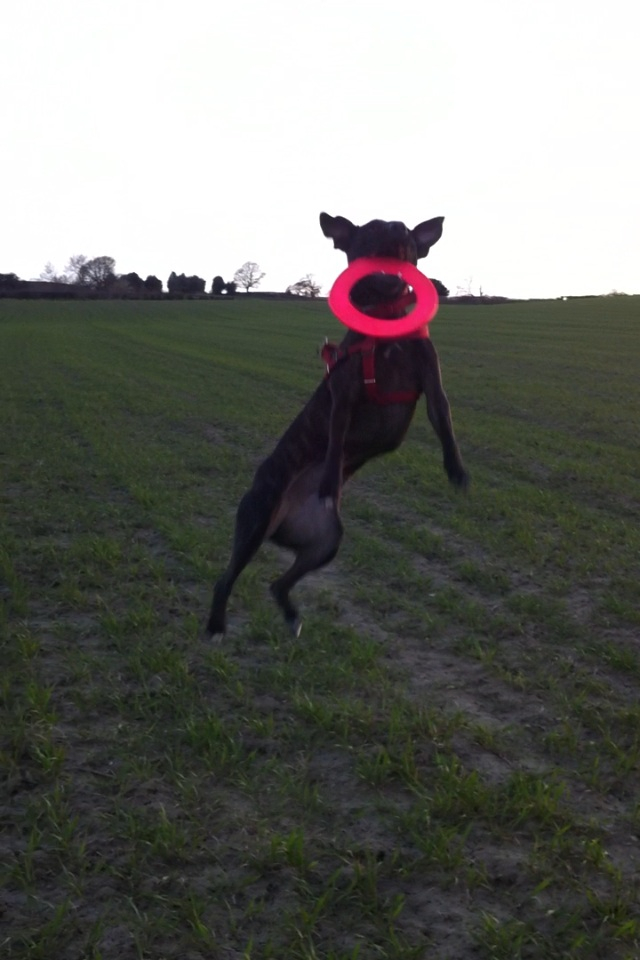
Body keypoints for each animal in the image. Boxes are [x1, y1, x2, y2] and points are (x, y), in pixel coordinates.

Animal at [206, 214, 470, 640]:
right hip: (256, 520)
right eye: (374, 225)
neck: (383, 316)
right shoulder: (343, 399)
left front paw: (457, 471)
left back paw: (292, 616)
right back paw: (215, 625)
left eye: (405, 230)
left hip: (326, 542)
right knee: (225, 578)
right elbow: (334, 443)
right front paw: (330, 482)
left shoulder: (431, 384)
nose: (397, 226)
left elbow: (444, 419)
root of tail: (284, 519)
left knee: (277, 583)